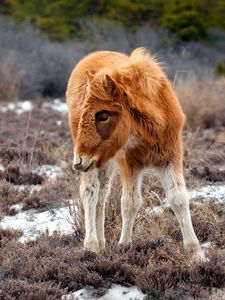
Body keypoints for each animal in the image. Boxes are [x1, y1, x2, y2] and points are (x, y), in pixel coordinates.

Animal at [66, 48, 205, 262]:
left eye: (103, 115)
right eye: (84, 113)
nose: (79, 160)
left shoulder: (171, 160)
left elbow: (179, 199)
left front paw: (196, 253)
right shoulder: (130, 165)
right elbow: (130, 203)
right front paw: (124, 245)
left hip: (102, 163)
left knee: (102, 195)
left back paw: (102, 243)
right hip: (95, 165)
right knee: (90, 192)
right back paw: (91, 245)